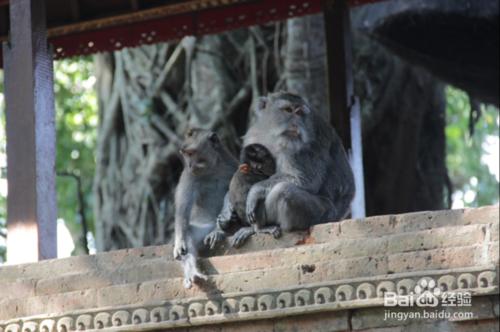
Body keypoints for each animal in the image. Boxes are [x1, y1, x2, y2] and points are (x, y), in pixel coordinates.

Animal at [173, 127, 237, 288]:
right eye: (186, 155)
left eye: (192, 153)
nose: (189, 164)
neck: (213, 168)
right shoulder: (188, 175)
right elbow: (182, 210)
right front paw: (179, 243)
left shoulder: (233, 165)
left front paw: (222, 225)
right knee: (189, 232)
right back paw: (193, 272)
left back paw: (219, 232)